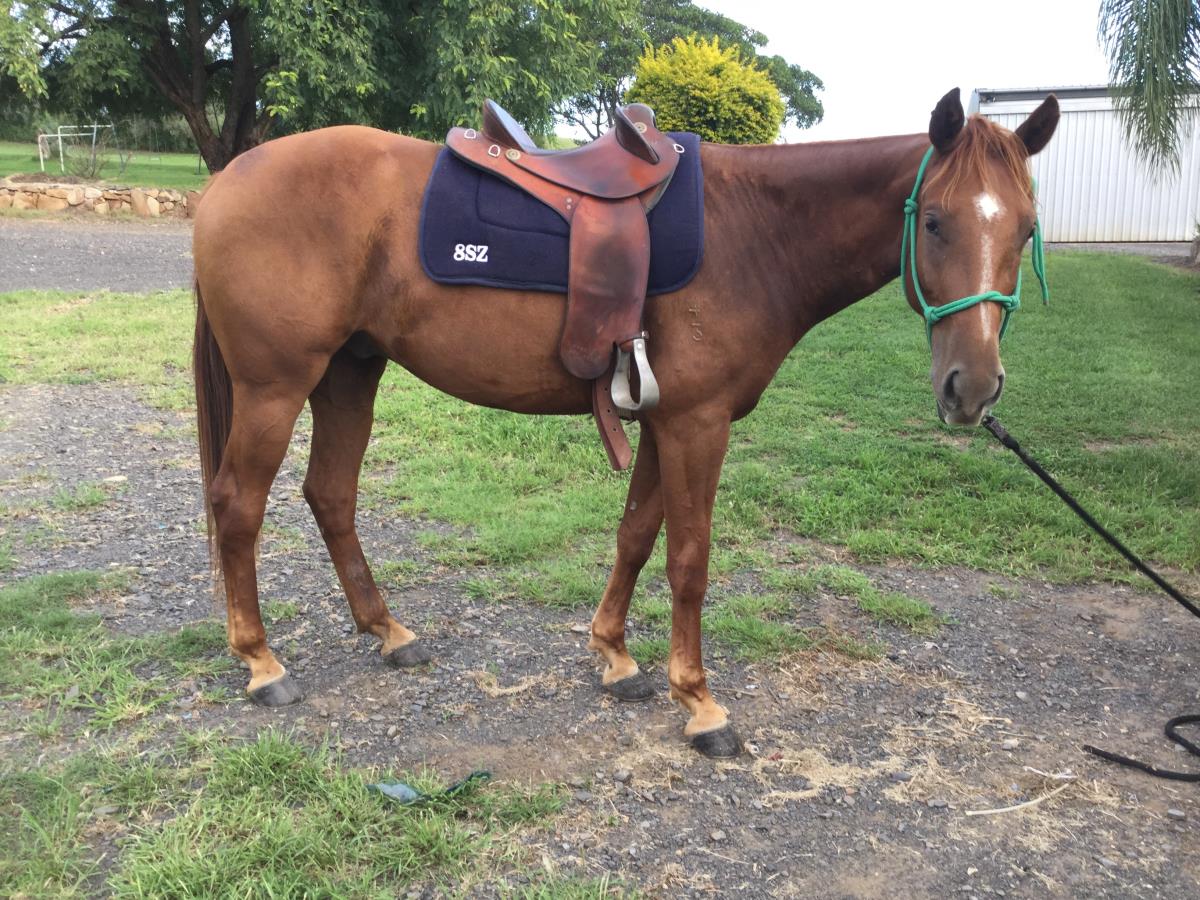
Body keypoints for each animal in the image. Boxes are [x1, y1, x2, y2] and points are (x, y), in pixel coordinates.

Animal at [192, 87, 1059, 757]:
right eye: (936, 221)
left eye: (1024, 229)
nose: (972, 388)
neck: (755, 232)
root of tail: (232, 176)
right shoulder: (698, 424)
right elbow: (689, 560)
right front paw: (700, 703)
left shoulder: (662, 418)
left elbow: (637, 534)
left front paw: (615, 657)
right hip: (275, 386)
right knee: (238, 505)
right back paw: (262, 662)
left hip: (350, 372)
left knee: (330, 494)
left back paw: (388, 632)